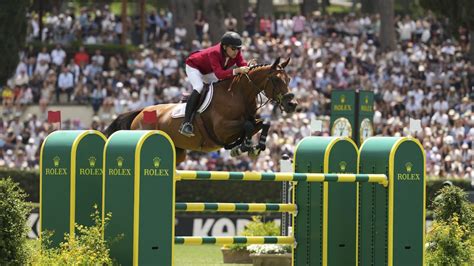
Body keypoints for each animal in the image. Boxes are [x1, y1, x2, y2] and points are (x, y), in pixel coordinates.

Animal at [104, 57, 296, 163]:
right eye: (276, 80)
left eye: (289, 79)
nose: (292, 104)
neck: (239, 94)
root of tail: (140, 112)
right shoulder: (222, 130)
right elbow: (248, 126)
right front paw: (244, 147)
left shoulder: (248, 121)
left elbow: (263, 123)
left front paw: (256, 147)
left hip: (179, 153)